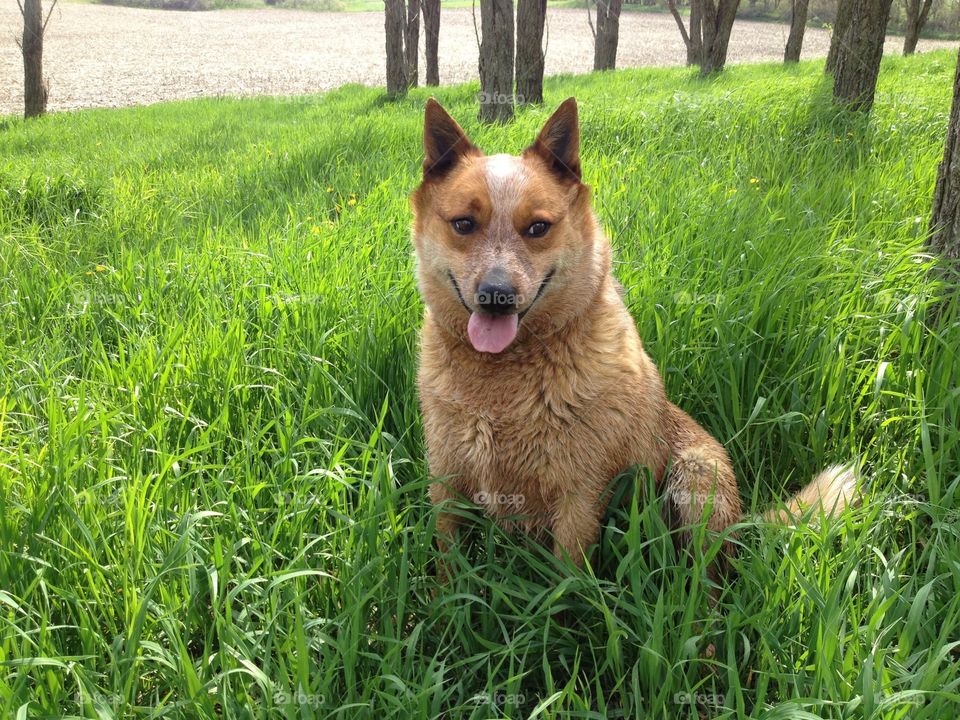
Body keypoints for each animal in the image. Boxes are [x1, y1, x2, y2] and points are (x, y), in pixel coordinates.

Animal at [412, 98, 856, 576]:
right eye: (463, 224)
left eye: (537, 228)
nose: (497, 295)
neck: (500, 377)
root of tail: (743, 524)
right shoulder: (445, 480)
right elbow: (447, 564)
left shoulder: (579, 496)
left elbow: (567, 579)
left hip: (697, 478)